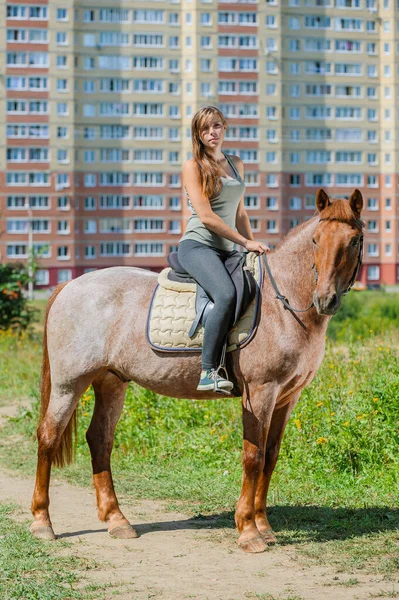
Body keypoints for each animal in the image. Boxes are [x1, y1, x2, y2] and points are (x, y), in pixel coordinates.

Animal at [29, 191, 364, 552]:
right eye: (316, 239)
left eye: (355, 240)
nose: (325, 299)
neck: (282, 303)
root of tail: (69, 285)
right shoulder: (260, 392)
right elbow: (253, 457)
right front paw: (248, 530)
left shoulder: (288, 396)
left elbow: (271, 456)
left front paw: (264, 525)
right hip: (69, 384)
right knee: (48, 437)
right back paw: (42, 522)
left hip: (111, 381)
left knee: (100, 439)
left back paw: (117, 520)